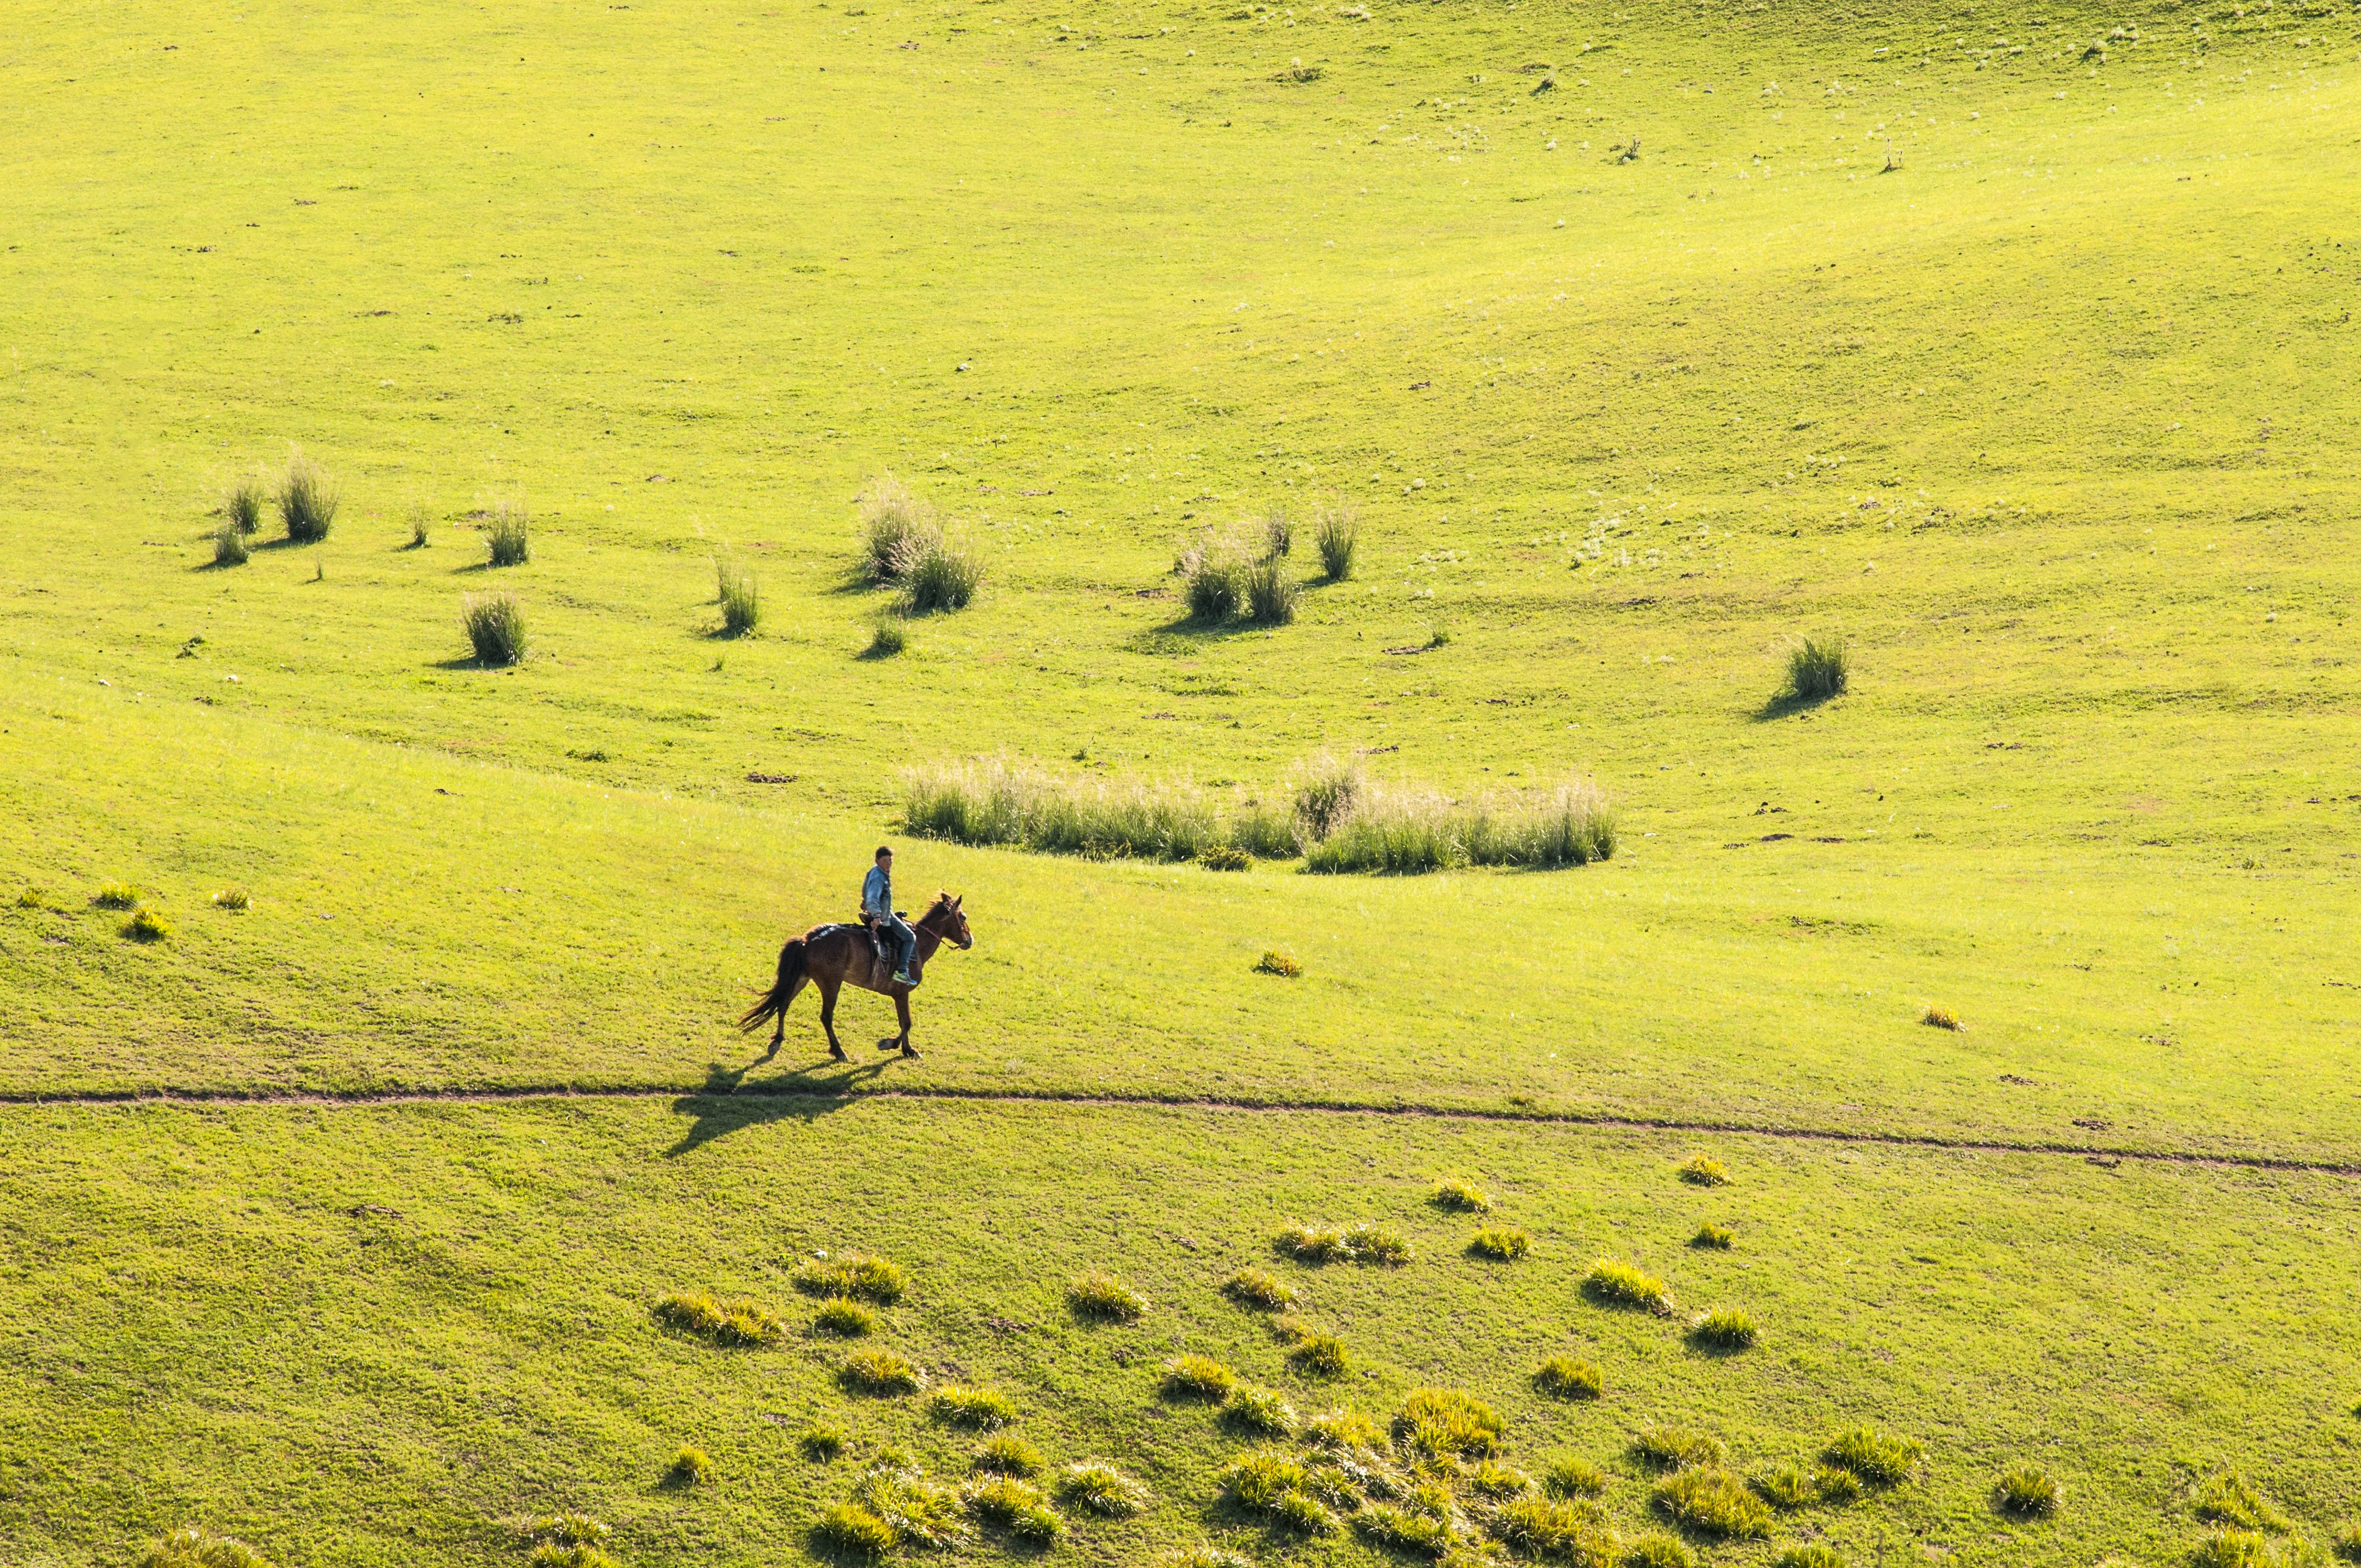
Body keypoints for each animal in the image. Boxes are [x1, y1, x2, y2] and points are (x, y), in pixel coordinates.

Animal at [727, 888, 968, 1058]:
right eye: (964, 917)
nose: (970, 940)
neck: (917, 945)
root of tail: (807, 940)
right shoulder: (902, 993)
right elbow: (906, 1022)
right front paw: (897, 1046)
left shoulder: (900, 995)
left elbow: (905, 1022)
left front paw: (902, 1048)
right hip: (830, 984)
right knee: (826, 1016)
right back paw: (838, 1051)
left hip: (802, 978)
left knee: (784, 1003)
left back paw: (777, 1040)